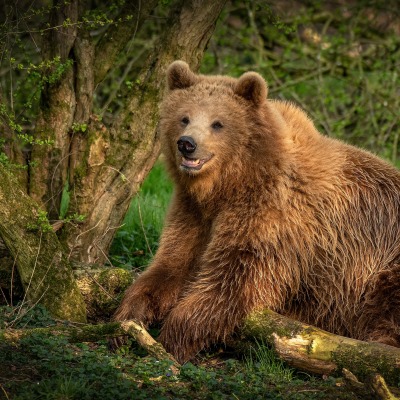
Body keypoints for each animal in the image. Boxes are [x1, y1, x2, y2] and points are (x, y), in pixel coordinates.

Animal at [112, 61, 400, 364]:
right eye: (184, 117)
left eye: (218, 123)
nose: (187, 143)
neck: (230, 184)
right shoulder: (194, 212)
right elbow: (173, 263)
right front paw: (128, 319)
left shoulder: (270, 217)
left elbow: (232, 280)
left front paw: (170, 340)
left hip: (383, 263)